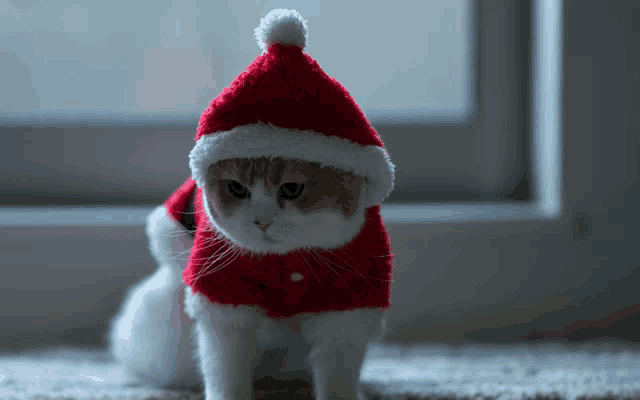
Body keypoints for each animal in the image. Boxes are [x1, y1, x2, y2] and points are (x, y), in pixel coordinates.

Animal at [109, 157, 388, 400]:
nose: (261, 222)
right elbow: (225, 370)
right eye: (236, 188)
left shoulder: (348, 304)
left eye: (292, 188)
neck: (285, 257)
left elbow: (338, 375)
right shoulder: (223, 300)